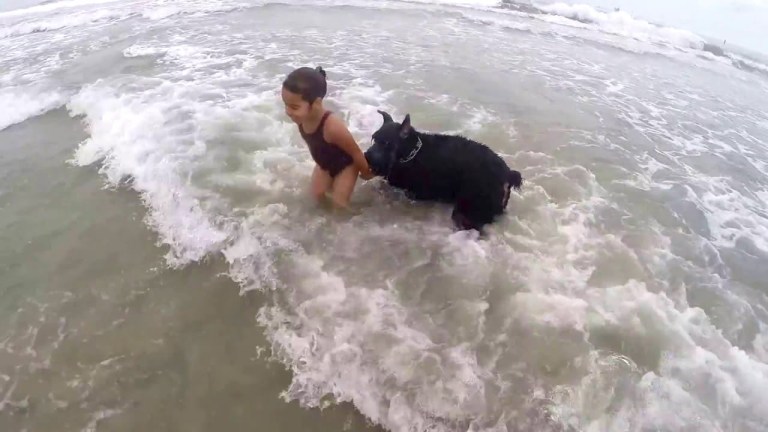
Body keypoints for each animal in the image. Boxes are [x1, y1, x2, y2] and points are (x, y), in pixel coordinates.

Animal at [364, 111, 520, 233]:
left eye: (386, 143)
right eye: (374, 138)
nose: (366, 156)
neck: (411, 153)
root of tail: (508, 173)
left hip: (469, 210)